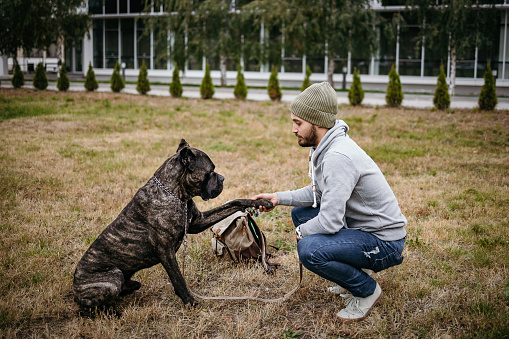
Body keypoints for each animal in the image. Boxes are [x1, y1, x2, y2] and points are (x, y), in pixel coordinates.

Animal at [73, 139, 272, 310]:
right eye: (210, 171)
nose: (222, 178)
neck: (176, 194)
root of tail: (75, 288)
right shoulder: (165, 250)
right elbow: (178, 278)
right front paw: (190, 302)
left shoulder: (198, 222)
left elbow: (234, 203)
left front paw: (262, 201)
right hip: (112, 277)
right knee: (90, 306)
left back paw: (131, 286)